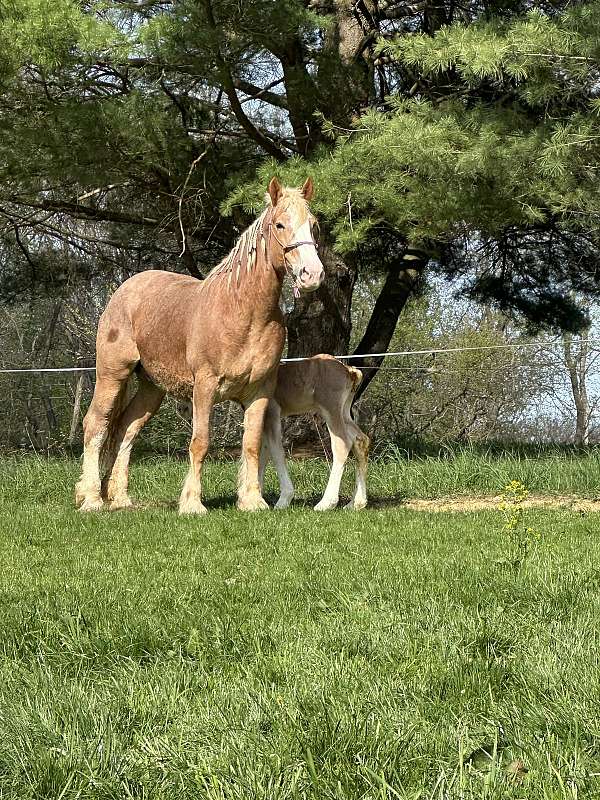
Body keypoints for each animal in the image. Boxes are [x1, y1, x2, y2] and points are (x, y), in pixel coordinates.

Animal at [75, 177, 324, 514]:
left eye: (313, 225)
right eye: (280, 224)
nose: (313, 274)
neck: (243, 312)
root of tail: (123, 290)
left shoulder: (259, 391)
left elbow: (251, 444)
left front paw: (252, 500)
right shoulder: (204, 387)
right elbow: (201, 442)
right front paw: (192, 503)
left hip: (152, 388)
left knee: (128, 427)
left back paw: (120, 498)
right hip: (112, 375)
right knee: (96, 425)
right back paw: (91, 499)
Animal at [259, 355, 370, 510]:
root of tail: (349, 370)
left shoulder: (272, 413)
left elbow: (276, 452)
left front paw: (282, 501)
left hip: (331, 410)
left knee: (343, 444)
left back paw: (326, 503)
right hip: (344, 412)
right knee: (360, 440)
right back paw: (355, 503)